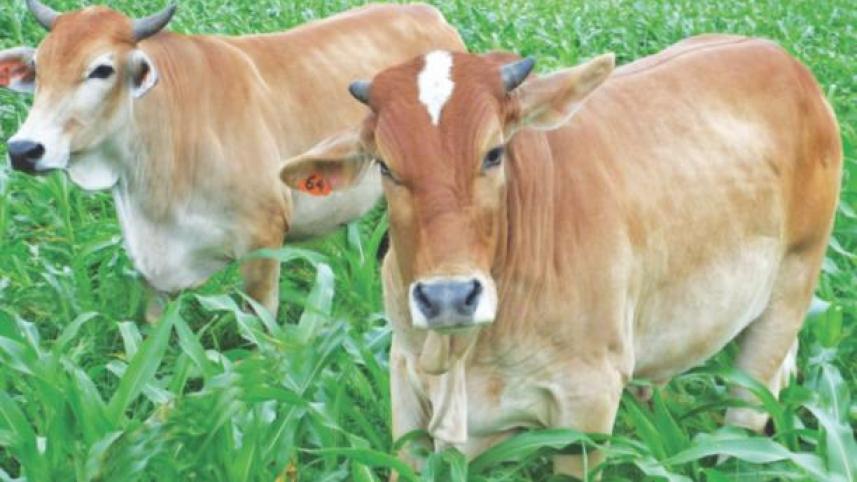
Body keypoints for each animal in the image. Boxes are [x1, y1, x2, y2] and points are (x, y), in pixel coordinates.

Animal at [0, 0, 464, 320]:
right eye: (39, 67)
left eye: (101, 70)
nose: (24, 149)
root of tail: (431, 15)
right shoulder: (152, 270)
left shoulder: (263, 242)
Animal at [278, 35, 842, 477]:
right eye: (386, 167)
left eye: (494, 153)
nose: (449, 297)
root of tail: (789, 66)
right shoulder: (406, 382)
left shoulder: (586, 408)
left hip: (791, 289)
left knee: (748, 405)